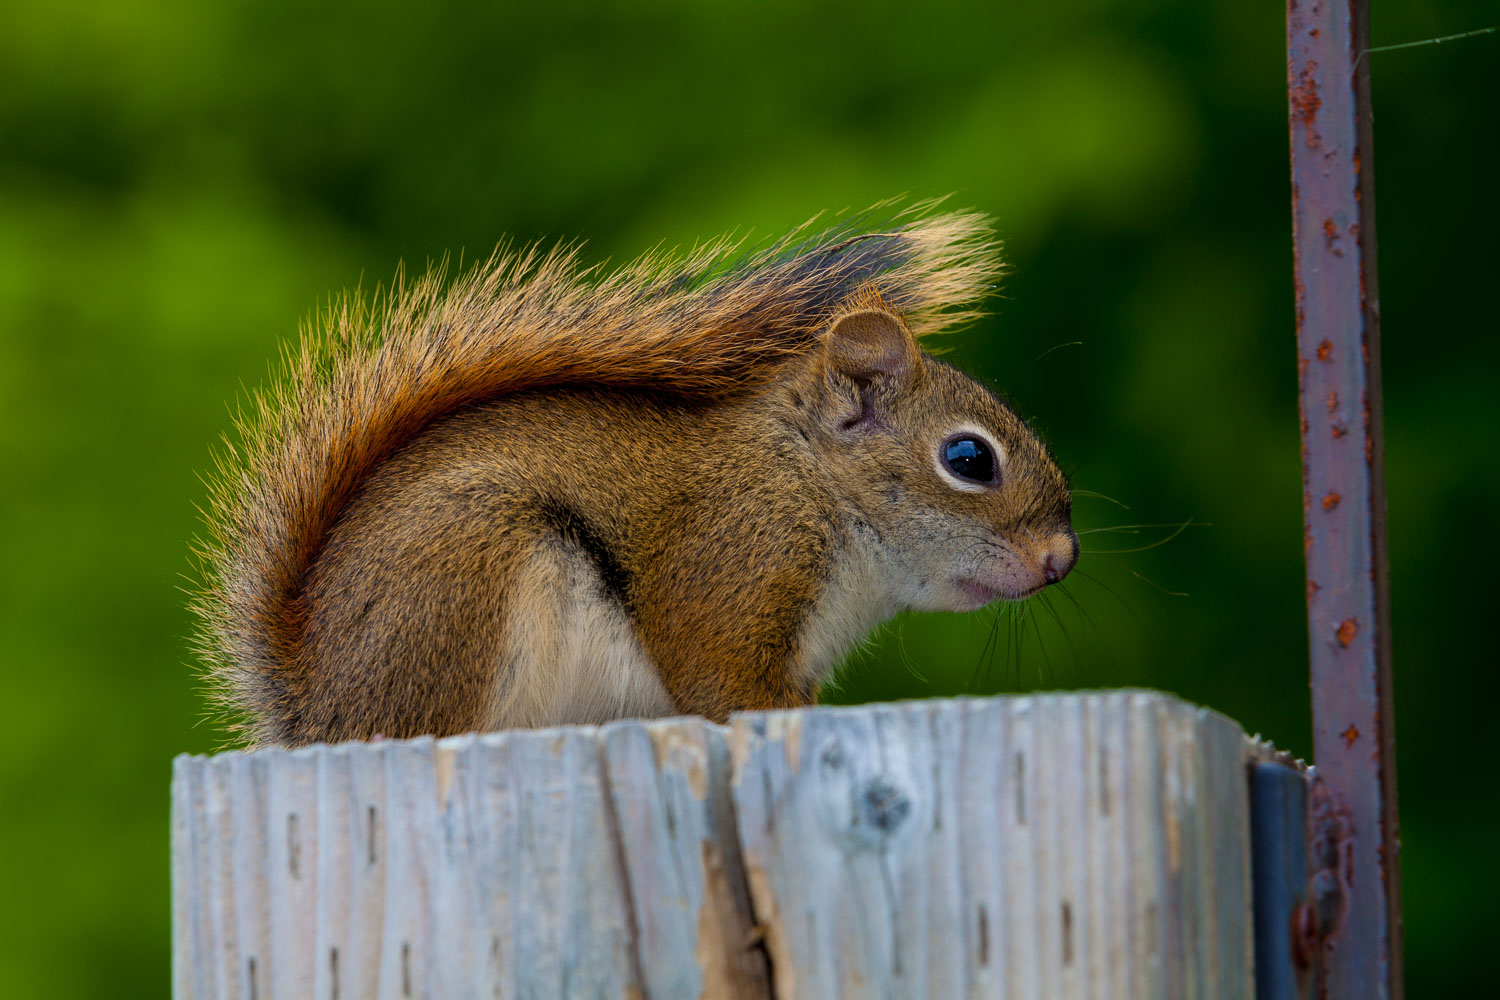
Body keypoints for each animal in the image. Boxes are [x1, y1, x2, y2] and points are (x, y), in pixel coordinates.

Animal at [193, 209, 1080, 743]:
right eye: (969, 459)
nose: (1062, 558)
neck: (809, 483)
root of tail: (316, 708)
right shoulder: (732, 564)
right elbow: (721, 679)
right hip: (464, 583)